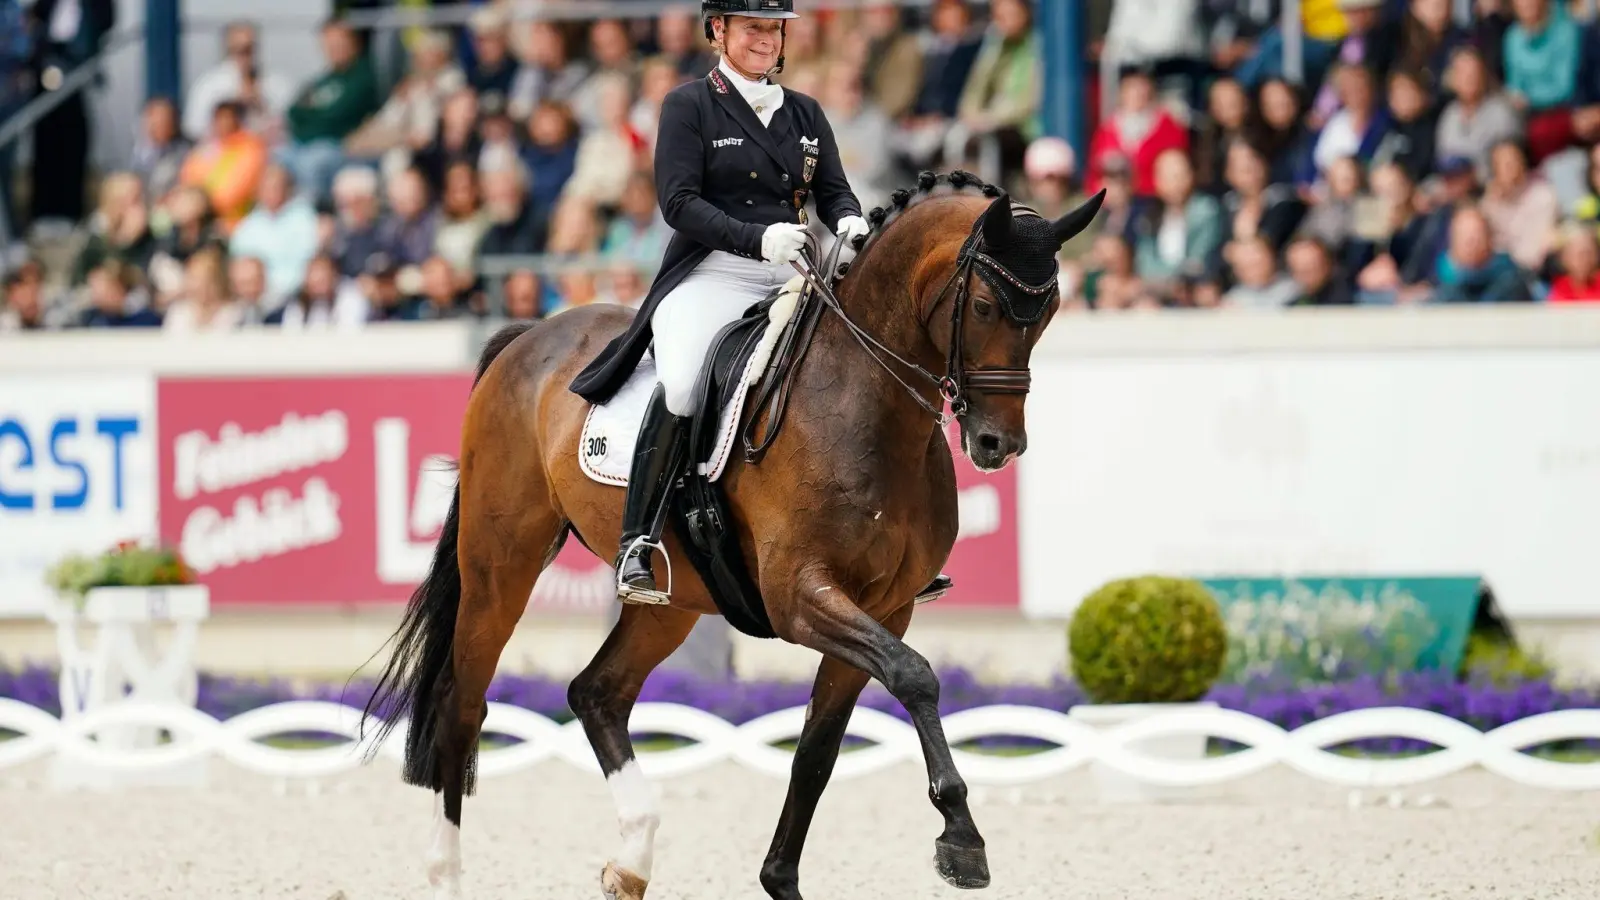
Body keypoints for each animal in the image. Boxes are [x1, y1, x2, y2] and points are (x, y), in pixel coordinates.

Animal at [358, 169, 1107, 896]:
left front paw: (781, 879)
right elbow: (915, 676)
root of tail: (528, 338)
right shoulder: (799, 596)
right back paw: (449, 873)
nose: (998, 445)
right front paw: (962, 839)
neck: (863, 401)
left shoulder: (886, 607)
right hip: (500, 564)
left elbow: (818, 751)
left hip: (674, 597)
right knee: (463, 704)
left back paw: (632, 860)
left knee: (595, 693)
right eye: (983, 307)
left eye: (1049, 311)